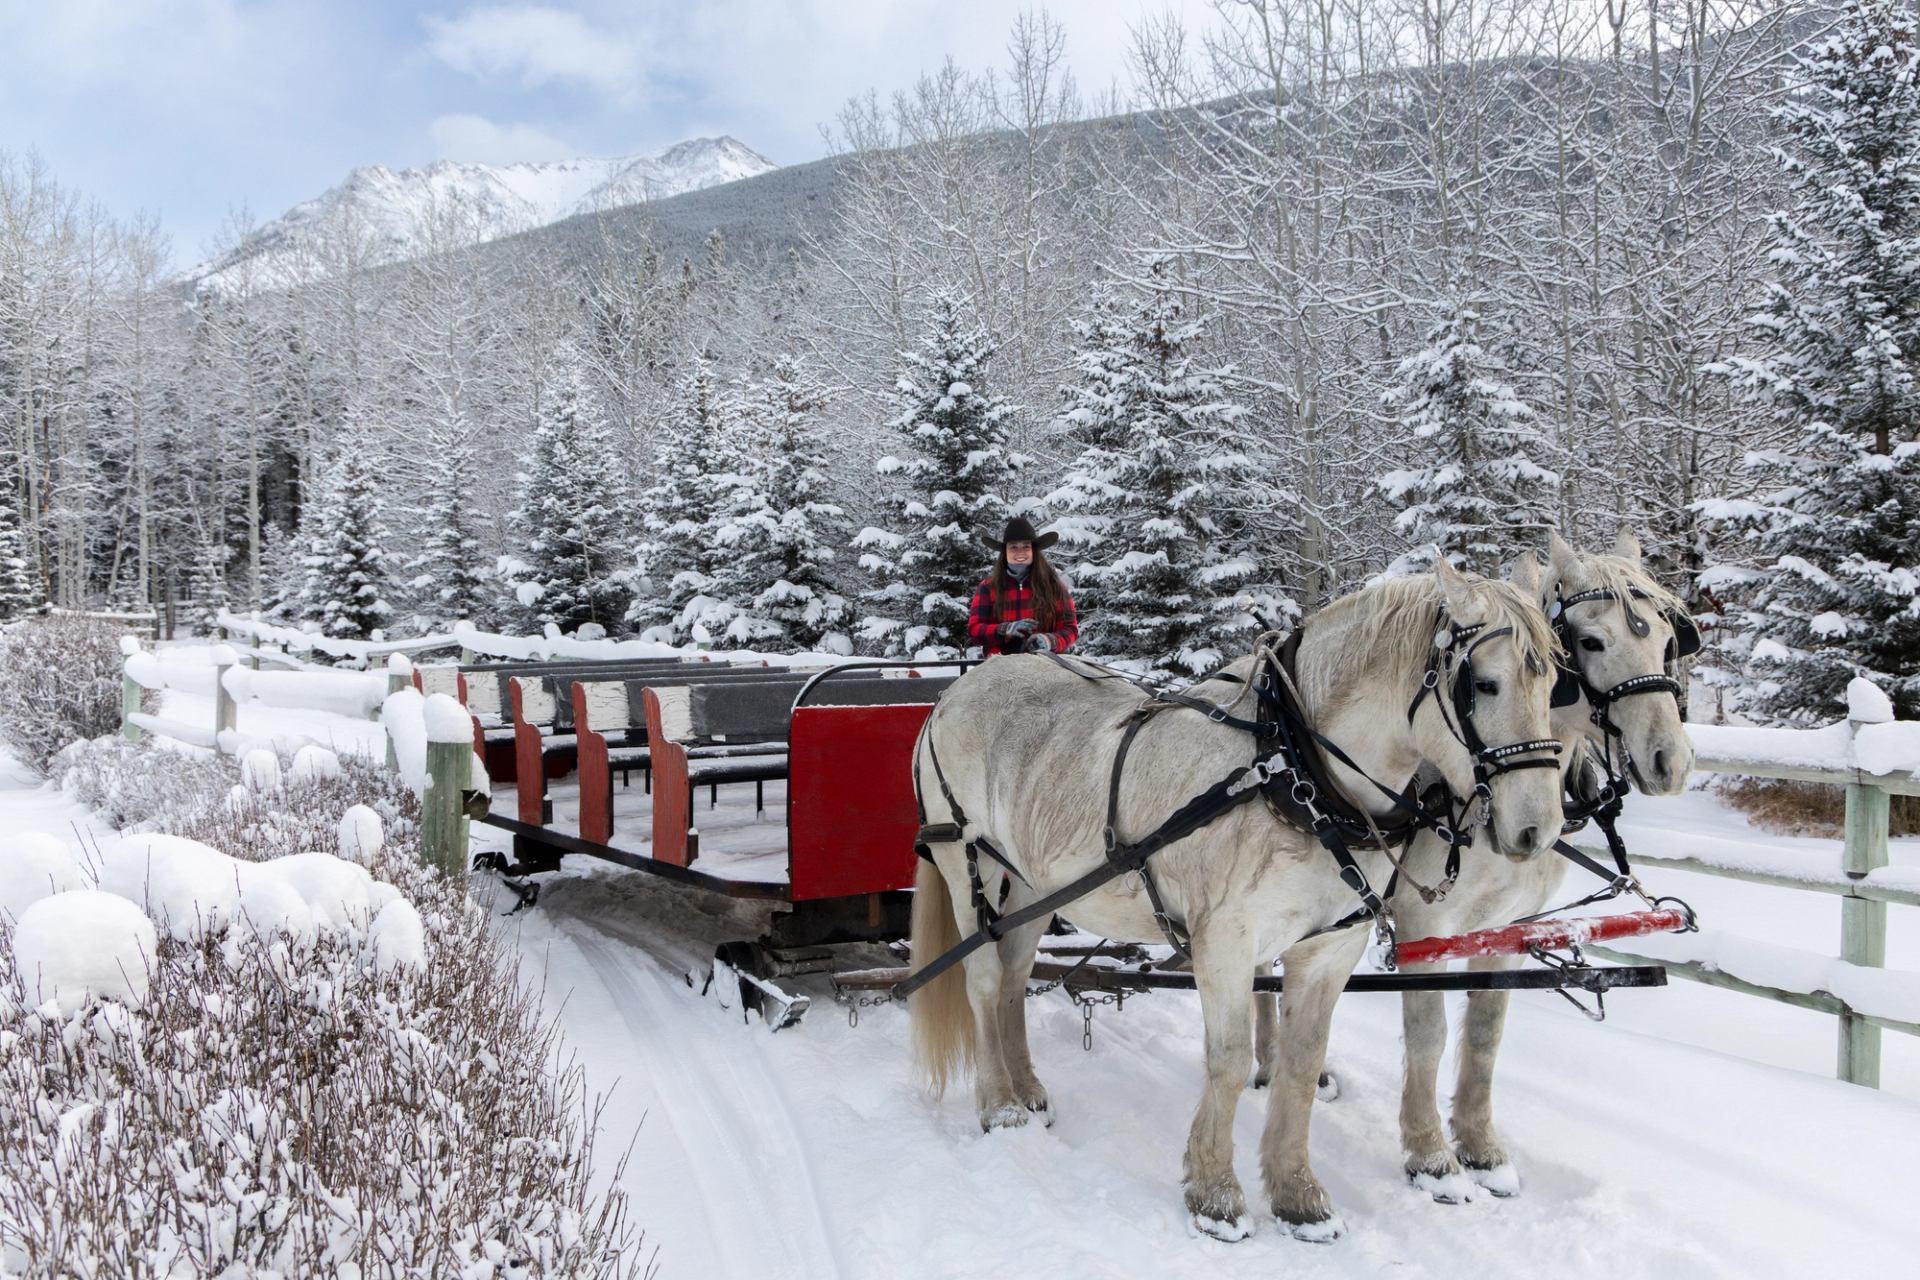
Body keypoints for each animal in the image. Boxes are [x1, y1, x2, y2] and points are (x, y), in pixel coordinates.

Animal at [907, 558, 1566, 1243]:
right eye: (1484, 684)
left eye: (1554, 685)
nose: (1537, 830)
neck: (1294, 771)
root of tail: (958, 690)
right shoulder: (1223, 939)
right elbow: (1227, 1059)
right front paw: (1216, 1194)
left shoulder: (1330, 948)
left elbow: (1301, 1065)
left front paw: (1298, 1195)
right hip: (966, 860)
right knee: (983, 978)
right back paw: (999, 1104)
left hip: (1037, 882)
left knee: (1013, 976)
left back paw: (1028, 1087)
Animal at [1251, 529, 1697, 1204]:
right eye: (1590, 643)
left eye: (1669, 639)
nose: (1670, 760)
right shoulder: (1421, 925)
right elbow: (1429, 1032)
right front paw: (1430, 1153)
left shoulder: (1510, 927)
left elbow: (1486, 1033)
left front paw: (1483, 1148)